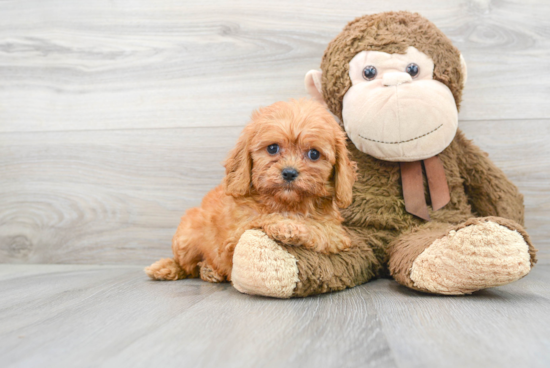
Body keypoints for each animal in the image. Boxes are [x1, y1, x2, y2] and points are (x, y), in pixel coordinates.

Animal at [144, 98, 358, 282]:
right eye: (272, 148)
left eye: (314, 154)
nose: (289, 173)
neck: (285, 203)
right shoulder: (234, 237)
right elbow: (260, 219)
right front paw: (285, 224)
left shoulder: (337, 235)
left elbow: (321, 229)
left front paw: (292, 227)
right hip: (187, 236)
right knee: (187, 266)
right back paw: (173, 268)